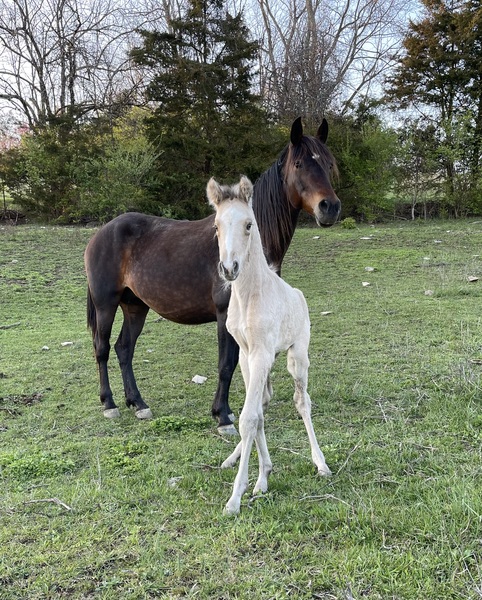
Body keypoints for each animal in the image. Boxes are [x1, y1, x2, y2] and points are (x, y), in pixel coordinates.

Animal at [84, 116, 338, 432]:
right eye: (300, 164)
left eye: (328, 163)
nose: (329, 207)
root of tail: (101, 233)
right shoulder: (224, 315)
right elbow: (226, 364)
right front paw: (223, 416)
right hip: (106, 305)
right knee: (103, 348)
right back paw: (110, 404)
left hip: (135, 306)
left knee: (124, 348)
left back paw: (139, 404)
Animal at [207, 175, 332, 516]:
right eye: (216, 226)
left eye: (249, 224)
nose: (229, 268)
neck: (249, 296)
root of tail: (299, 294)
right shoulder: (246, 354)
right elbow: (257, 414)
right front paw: (263, 476)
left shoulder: (262, 353)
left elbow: (249, 417)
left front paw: (235, 498)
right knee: (265, 401)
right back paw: (236, 460)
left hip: (297, 356)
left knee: (303, 402)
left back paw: (321, 463)